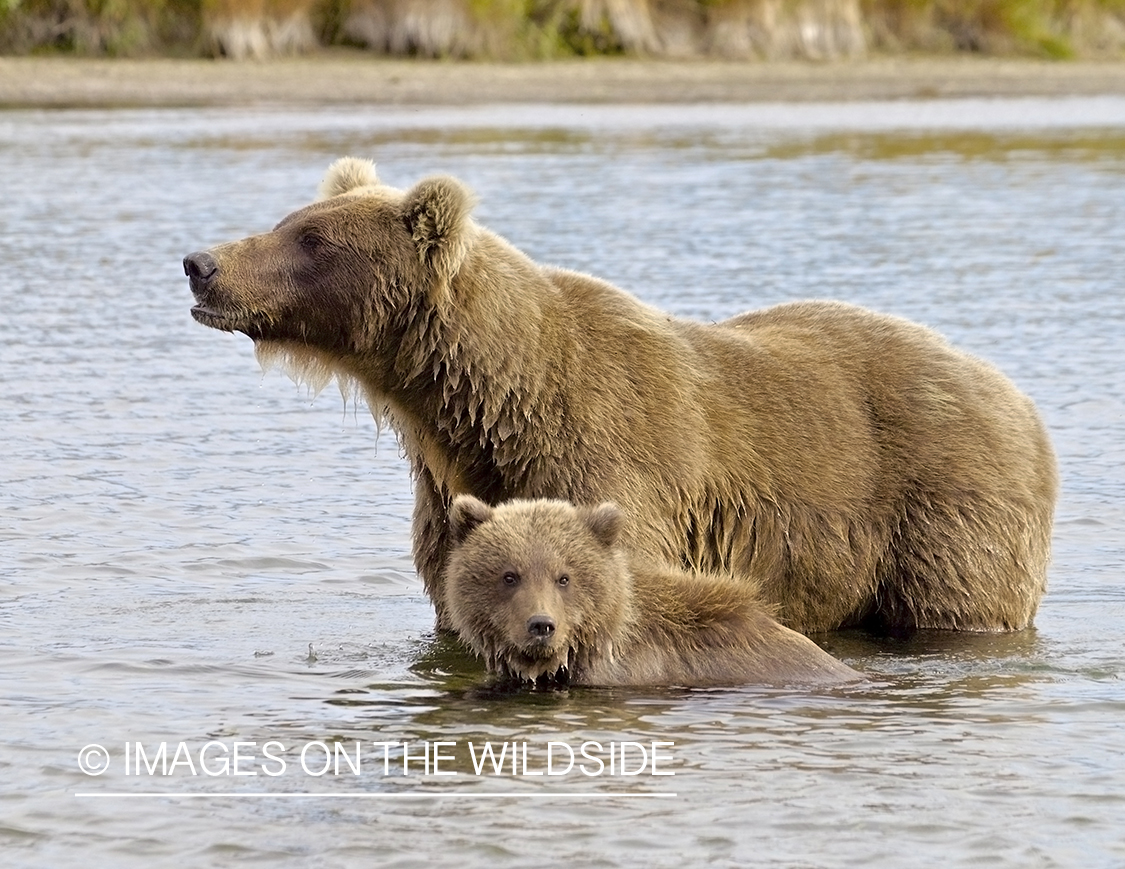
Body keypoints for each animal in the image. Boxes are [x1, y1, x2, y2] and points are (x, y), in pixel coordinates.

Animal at [182, 156, 1053, 634]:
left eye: (311, 239)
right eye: (291, 218)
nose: (201, 263)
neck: (479, 402)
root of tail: (1019, 400)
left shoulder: (603, 463)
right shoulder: (453, 488)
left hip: (940, 512)